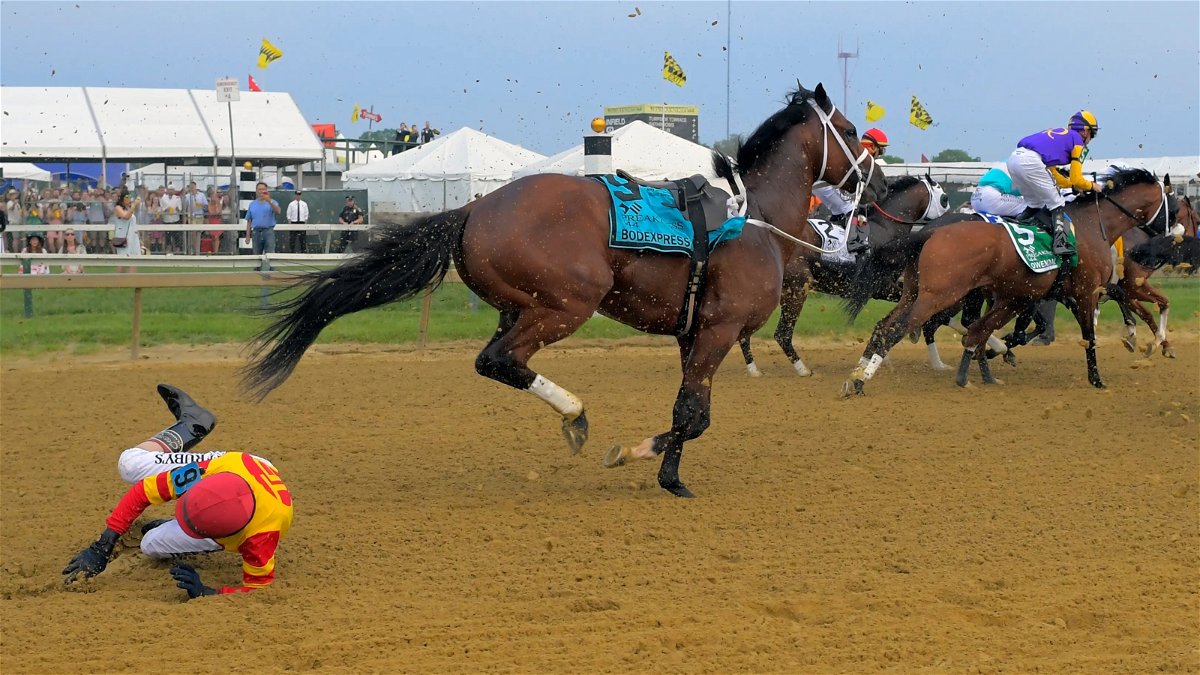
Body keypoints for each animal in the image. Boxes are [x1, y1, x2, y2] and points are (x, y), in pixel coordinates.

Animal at [241, 82, 892, 494]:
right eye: (850, 130)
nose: (884, 179)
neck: (753, 219)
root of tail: (475, 207)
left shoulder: (694, 334)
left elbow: (693, 413)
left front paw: (668, 473)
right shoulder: (719, 330)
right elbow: (690, 416)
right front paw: (642, 457)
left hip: (518, 305)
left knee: (496, 360)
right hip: (566, 304)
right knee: (501, 359)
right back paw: (576, 415)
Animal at [739, 170, 945, 374]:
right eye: (944, 198)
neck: (885, 228)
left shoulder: (880, 289)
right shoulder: (881, 286)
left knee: (745, 332)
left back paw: (753, 369)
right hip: (797, 287)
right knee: (782, 334)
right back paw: (802, 369)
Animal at [840, 165, 1166, 393]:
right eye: (1169, 202)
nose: (1166, 234)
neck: (1089, 225)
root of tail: (930, 232)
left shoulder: (1040, 294)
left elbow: (993, 330)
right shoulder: (1085, 291)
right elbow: (1089, 334)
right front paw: (1098, 377)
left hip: (916, 292)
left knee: (887, 325)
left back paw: (861, 370)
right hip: (939, 295)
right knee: (901, 328)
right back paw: (860, 380)